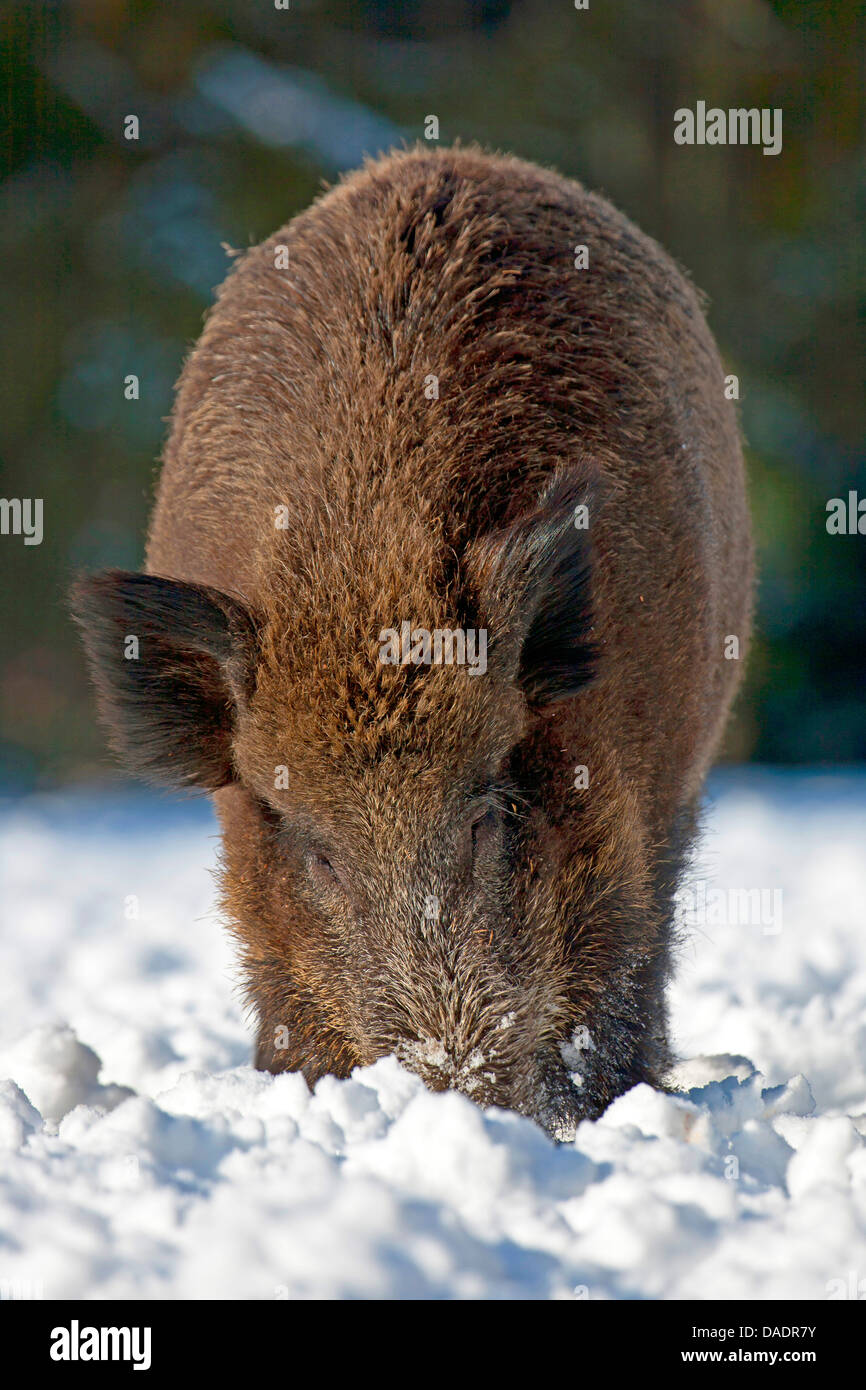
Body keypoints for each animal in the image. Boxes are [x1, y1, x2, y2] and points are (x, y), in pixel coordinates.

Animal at [72, 144, 753, 1137]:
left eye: (484, 814)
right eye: (319, 851)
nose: (454, 1089)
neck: (367, 578)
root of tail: (451, 156)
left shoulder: (629, 801)